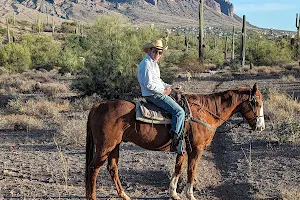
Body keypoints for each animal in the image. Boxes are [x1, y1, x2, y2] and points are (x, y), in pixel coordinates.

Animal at [85, 83, 264, 200]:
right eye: (256, 102)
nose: (261, 126)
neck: (205, 112)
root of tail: (98, 105)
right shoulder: (196, 149)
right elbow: (191, 170)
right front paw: (190, 195)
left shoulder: (183, 148)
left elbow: (178, 168)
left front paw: (174, 193)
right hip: (105, 147)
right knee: (93, 168)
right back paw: (93, 197)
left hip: (114, 146)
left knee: (112, 169)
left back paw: (124, 195)